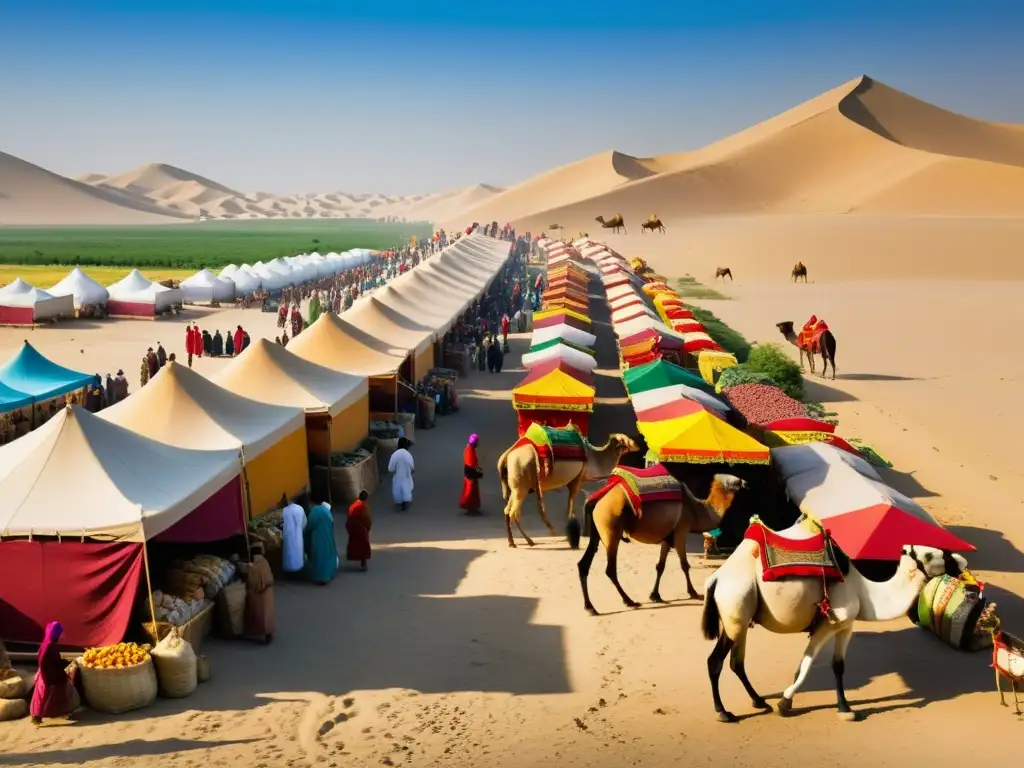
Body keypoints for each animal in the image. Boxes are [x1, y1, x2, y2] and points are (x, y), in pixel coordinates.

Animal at [497, 434, 638, 552]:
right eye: (627, 440)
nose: (637, 446)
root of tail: (506, 457)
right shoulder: (577, 480)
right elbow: (571, 505)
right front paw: (570, 533)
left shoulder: (573, 482)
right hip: (522, 484)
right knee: (514, 512)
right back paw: (529, 540)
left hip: (515, 487)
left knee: (506, 510)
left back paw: (512, 542)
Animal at [577, 473, 745, 618]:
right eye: (735, 482)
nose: (745, 483)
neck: (696, 509)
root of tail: (594, 501)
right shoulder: (680, 531)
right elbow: (684, 564)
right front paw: (693, 592)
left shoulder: (667, 536)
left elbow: (660, 566)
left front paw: (655, 595)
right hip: (611, 529)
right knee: (610, 569)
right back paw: (629, 601)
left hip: (597, 533)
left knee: (583, 564)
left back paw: (590, 607)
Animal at [700, 532, 970, 724]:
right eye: (933, 554)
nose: (962, 561)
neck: (864, 591)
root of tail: (716, 579)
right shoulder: (828, 624)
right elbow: (806, 666)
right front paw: (785, 703)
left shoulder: (845, 627)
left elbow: (837, 666)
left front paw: (845, 708)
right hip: (736, 607)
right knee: (715, 661)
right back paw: (724, 712)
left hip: (737, 618)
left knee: (736, 662)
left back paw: (758, 701)